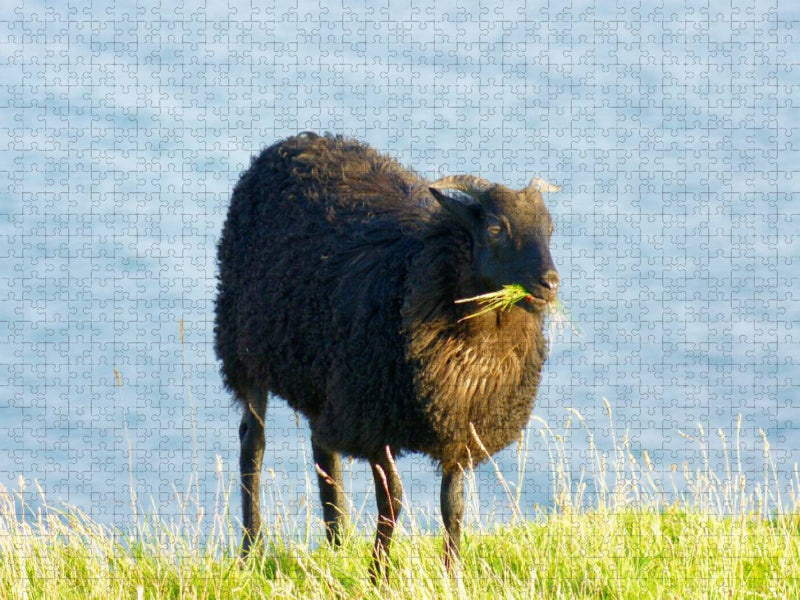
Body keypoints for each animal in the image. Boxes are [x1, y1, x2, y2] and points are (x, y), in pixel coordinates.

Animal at [214, 131, 560, 580]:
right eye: (496, 228)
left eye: (549, 228)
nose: (550, 282)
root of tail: (296, 141)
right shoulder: (375, 420)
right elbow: (392, 499)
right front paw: (378, 573)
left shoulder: (458, 424)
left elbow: (453, 504)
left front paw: (451, 574)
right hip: (247, 348)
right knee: (252, 443)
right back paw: (251, 547)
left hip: (326, 377)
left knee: (322, 447)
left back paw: (337, 542)